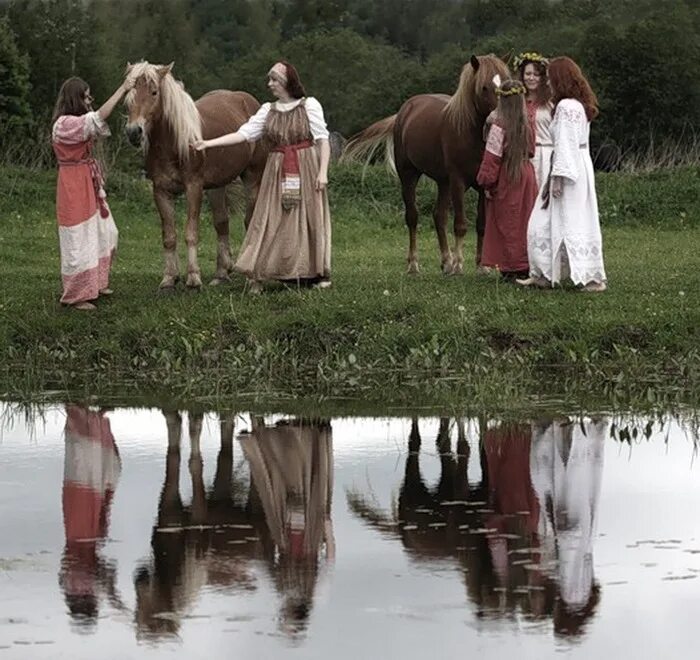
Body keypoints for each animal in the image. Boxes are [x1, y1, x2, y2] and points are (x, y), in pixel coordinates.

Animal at [121, 62, 266, 288]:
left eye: (154, 92)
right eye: (129, 94)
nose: (134, 132)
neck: (173, 143)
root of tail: (248, 101)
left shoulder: (193, 187)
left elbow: (191, 232)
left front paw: (193, 278)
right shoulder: (160, 190)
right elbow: (169, 236)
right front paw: (169, 278)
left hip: (253, 177)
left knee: (249, 220)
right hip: (217, 186)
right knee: (221, 223)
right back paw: (221, 274)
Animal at [344, 53, 508, 276]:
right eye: (484, 87)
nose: (500, 118)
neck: (469, 133)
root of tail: (404, 112)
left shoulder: (483, 185)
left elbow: (481, 225)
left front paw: (481, 266)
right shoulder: (457, 181)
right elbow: (460, 224)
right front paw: (459, 265)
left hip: (443, 183)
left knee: (439, 216)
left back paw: (446, 262)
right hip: (409, 175)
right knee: (413, 217)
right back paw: (414, 264)